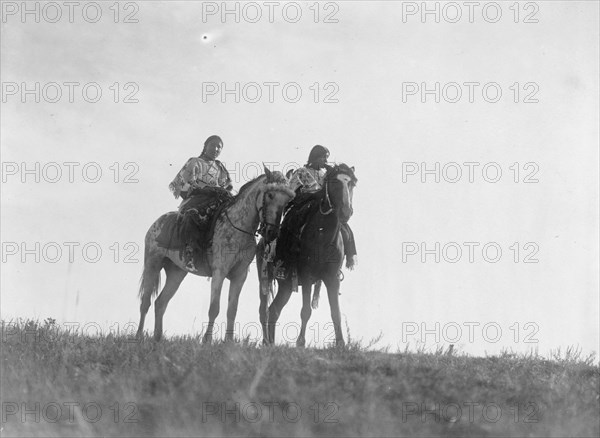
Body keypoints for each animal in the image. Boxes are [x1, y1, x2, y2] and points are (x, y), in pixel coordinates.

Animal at [256, 163, 356, 346]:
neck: (322, 236)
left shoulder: (332, 278)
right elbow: (306, 311)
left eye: (351, 183)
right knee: (263, 310)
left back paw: (272, 343)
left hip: (286, 286)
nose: (346, 211)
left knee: (273, 310)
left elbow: (335, 312)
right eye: (334, 183)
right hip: (264, 278)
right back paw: (266, 341)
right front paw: (300, 342)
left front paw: (340, 343)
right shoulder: (307, 275)